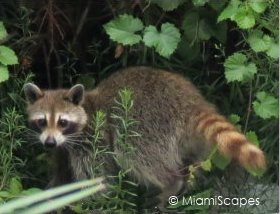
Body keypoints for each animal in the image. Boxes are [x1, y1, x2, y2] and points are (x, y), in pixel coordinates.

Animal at [23, 67, 264, 207]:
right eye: (42, 121)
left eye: (62, 122)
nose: (49, 143)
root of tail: (189, 102)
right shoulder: (64, 150)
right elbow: (61, 174)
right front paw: (49, 194)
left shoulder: (93, 141)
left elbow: (98, 179)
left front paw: (86, 203)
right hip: (193, 142)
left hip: (145, 122)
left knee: (133, 153)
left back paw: (171, 183)